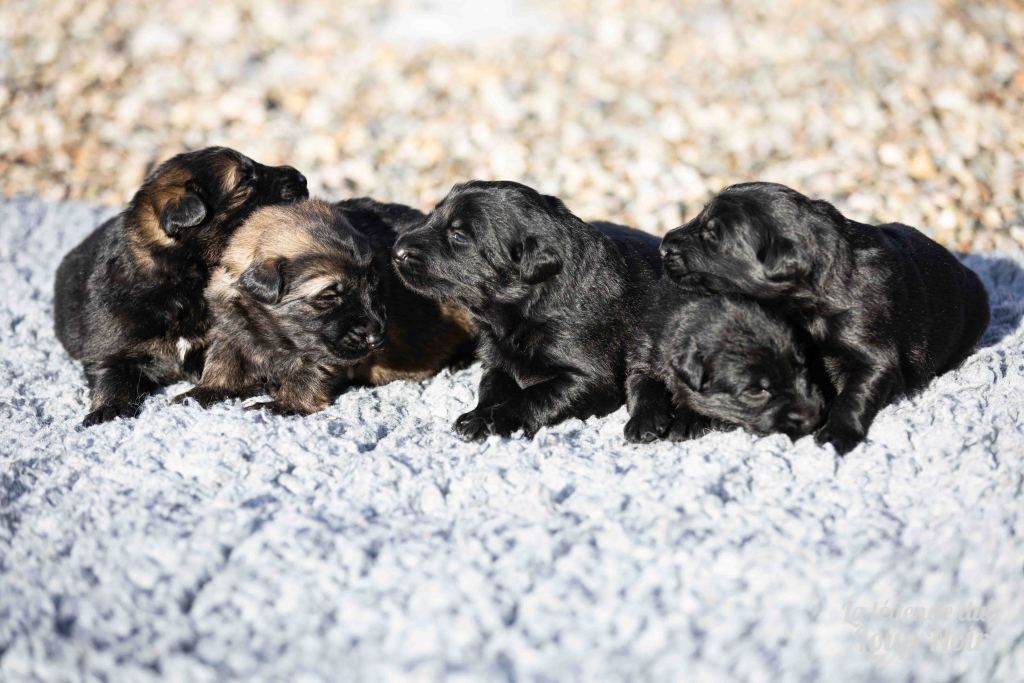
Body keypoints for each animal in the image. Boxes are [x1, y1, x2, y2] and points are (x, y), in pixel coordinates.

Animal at [54, 146, 307, 425]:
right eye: (245, 178)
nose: (302, 178)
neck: (183, 282)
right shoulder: (113, 346)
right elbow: (112, 375)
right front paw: (109, 410)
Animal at [175, 198, 475, 415]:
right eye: (329, 296)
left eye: (373, 285)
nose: (377, 338)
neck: (271, 330)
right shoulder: (229, 328)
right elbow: (222, 361)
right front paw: (204, 391)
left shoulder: (323, 351)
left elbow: (308, 374)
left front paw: (283, 404)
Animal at [391, 180, 662, 440]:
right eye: (433, 214)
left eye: (458, 235)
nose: (395, 251)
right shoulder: (497, 360)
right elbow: (491, 386)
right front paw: (479, 413)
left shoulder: (591, 377)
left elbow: (534, 395)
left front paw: (485, 421)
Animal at [625, 284, 825, 443]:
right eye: (755, 391)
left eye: (802, 368)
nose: (813, 418)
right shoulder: (643, 351)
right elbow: (640, 383)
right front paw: (644, 422)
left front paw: (686, 422)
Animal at [660, 181, 990, 453]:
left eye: (712, 235)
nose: (663, 245)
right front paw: (690, 416)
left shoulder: (871, 345)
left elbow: (857, 391)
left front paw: (836, 432)